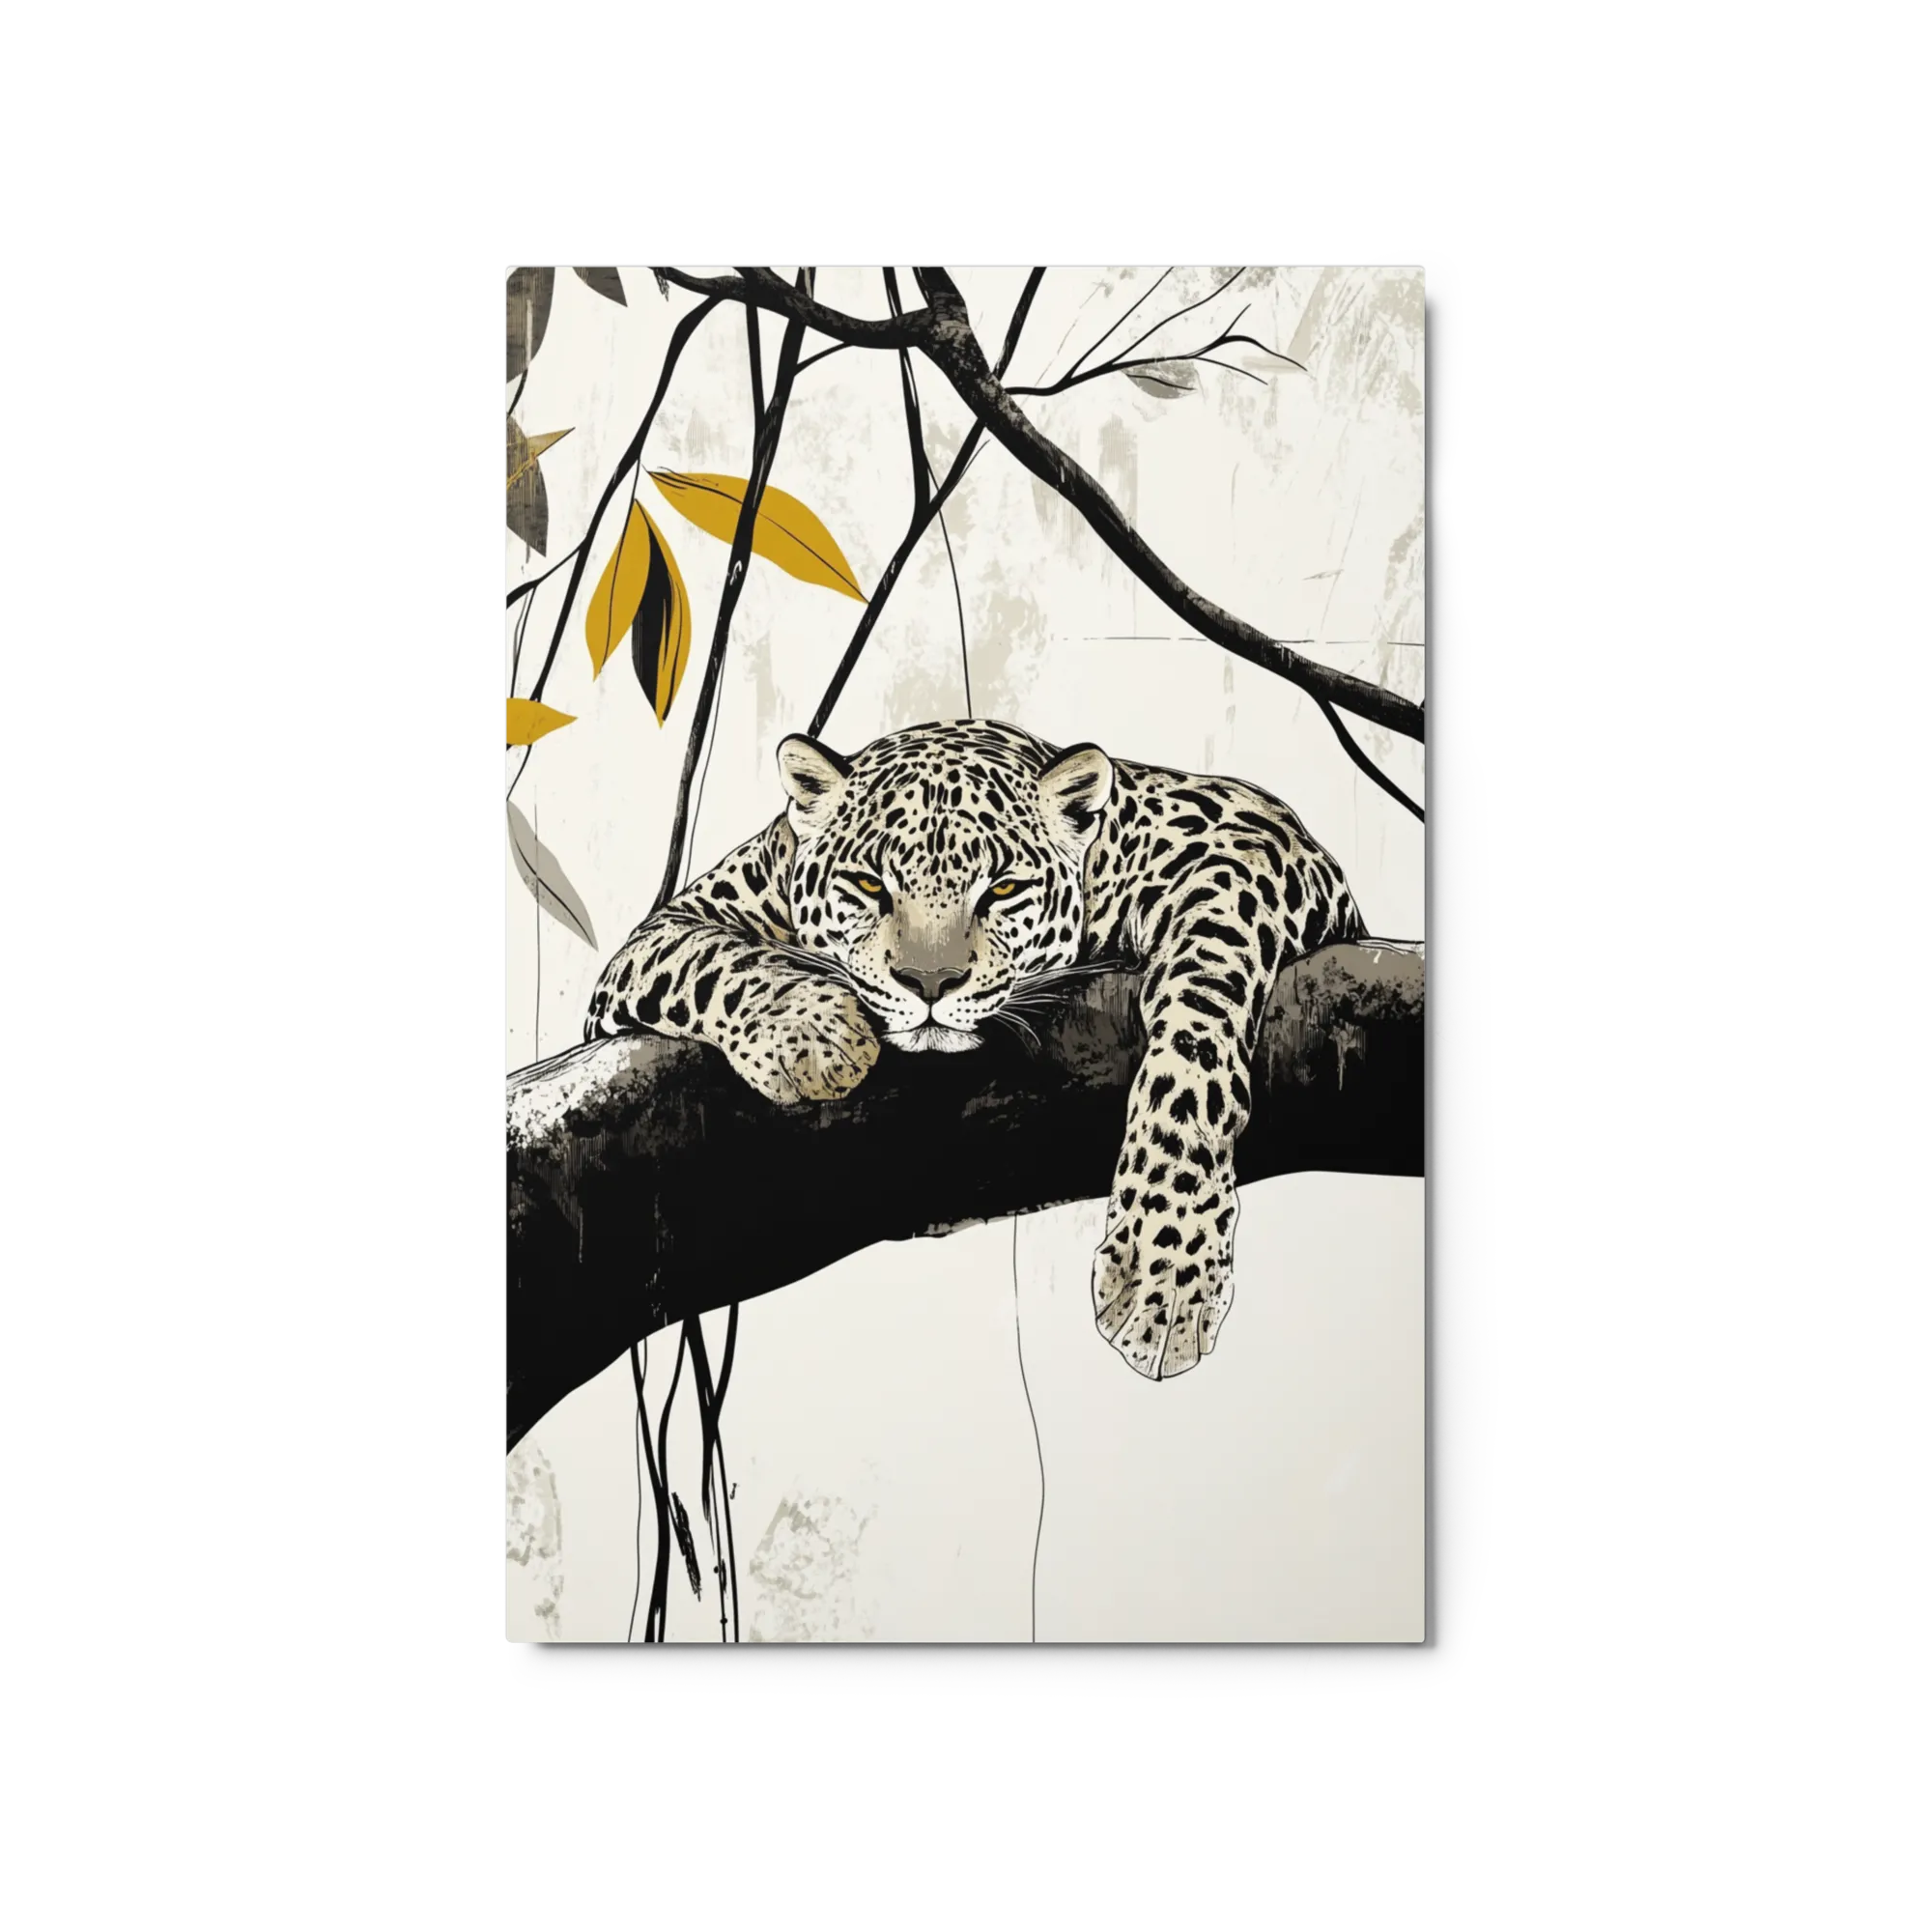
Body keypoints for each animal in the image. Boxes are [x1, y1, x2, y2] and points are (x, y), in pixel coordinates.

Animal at [584, 718, 1365, 1380]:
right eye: (868, 884)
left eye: (1004, 888)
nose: (929, 982)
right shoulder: (662, 933)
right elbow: (711, 960)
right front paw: (815, 1034)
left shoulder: (1252, 836)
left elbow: (1198, 1016)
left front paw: (1161, 1270)